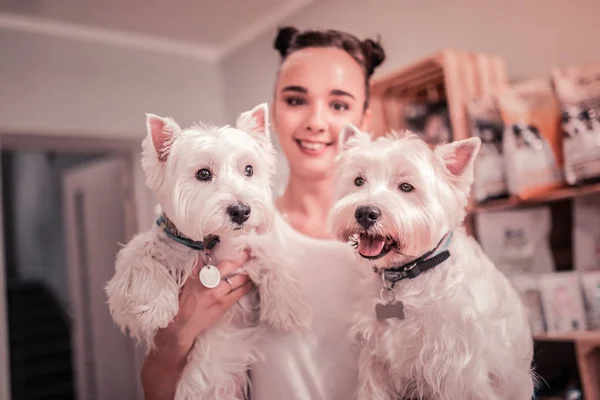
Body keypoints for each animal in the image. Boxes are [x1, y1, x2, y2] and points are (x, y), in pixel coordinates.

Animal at [328, 126, 536, 400]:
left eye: (406, 187)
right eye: (359, 181)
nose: (365, 213)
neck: (411, 273)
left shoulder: (456, 369)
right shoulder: (377, 360)